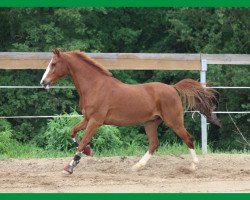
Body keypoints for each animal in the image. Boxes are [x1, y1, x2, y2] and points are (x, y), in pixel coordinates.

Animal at [40, 49, 220, 174]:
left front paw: (70, 166)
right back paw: (137, 166)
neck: (95, 86)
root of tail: (173, 88)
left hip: (173, 121)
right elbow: (72, 132)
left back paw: (193, 166)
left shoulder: (95, 121)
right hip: (150, 123)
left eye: (53, 64)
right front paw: (88, 151)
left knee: (188, 138)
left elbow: (83, 140)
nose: (43, 82)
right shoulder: (87, 119)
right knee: (154, 143)